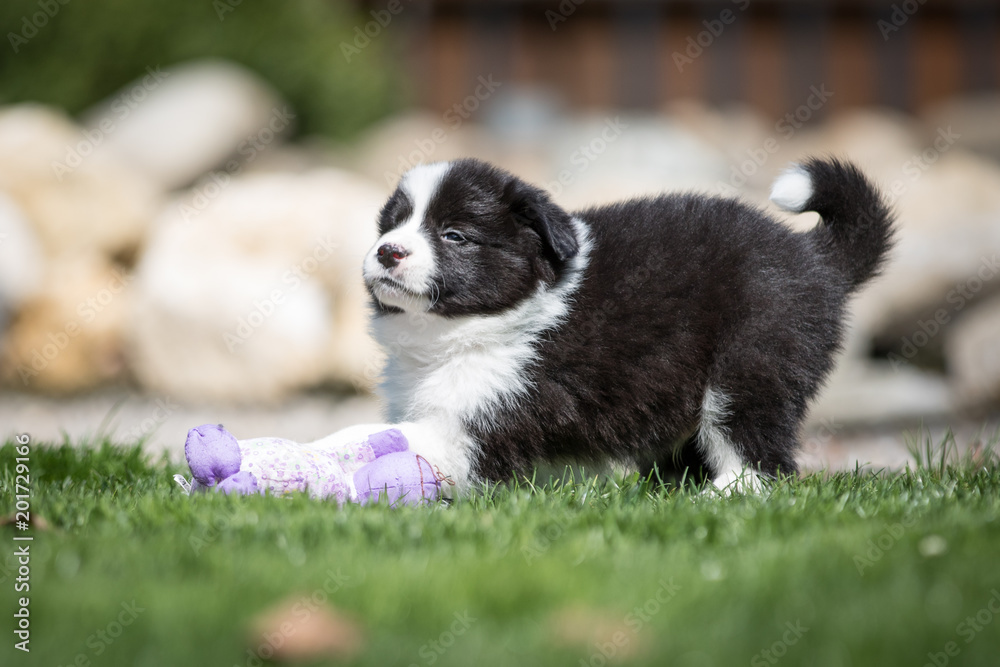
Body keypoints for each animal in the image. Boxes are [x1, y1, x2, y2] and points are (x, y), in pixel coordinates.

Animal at [364, 155, 896, 490]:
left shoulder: (480, 419)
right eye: (390, 225)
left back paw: (727, 493)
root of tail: (814, 259)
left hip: (752, 361)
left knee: (758, 447)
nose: (387, 251)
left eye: (454, 235)